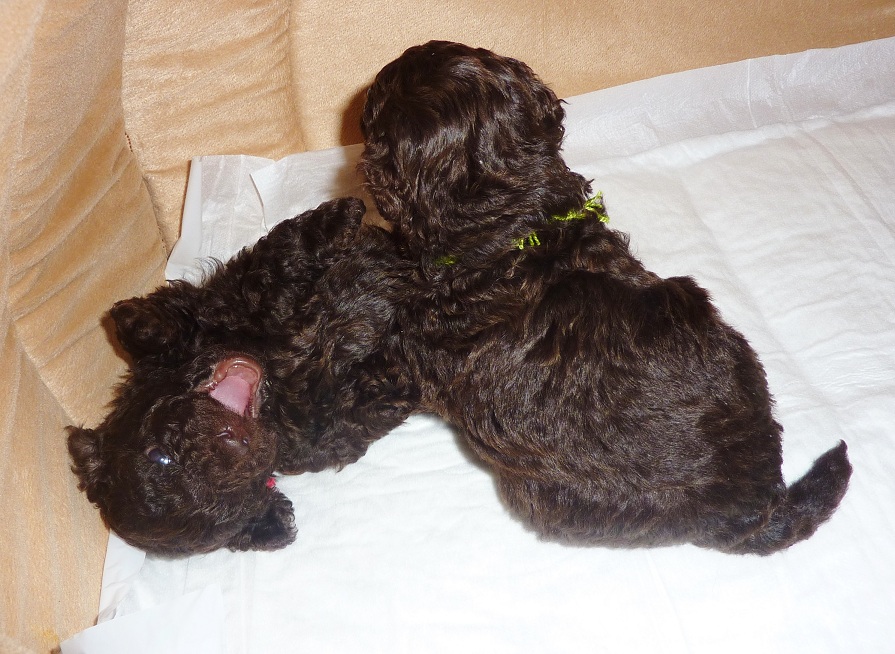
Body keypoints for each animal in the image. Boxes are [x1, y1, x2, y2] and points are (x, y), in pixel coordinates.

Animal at [68, 198, 417, 555]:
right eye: (228, 501)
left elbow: (268, 269)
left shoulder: (221, 298)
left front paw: (339, 217)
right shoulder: (328, 427)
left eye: (158, 456)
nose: (234, 439)